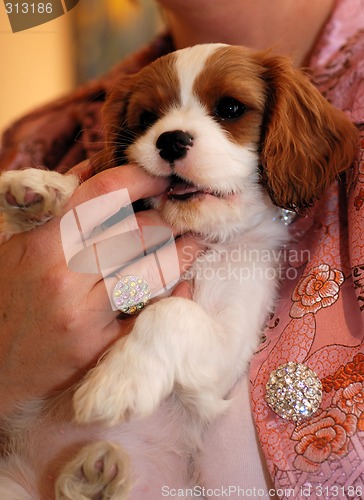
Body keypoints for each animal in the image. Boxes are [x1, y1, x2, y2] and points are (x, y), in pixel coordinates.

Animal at [0, 45, 356, 498]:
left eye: (230, 107)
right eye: (148, 118)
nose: (170, 139)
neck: (201, 234)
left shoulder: (226, 354)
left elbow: (171, 312)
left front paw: (119, 379)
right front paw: (45, 188)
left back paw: (94, 472)